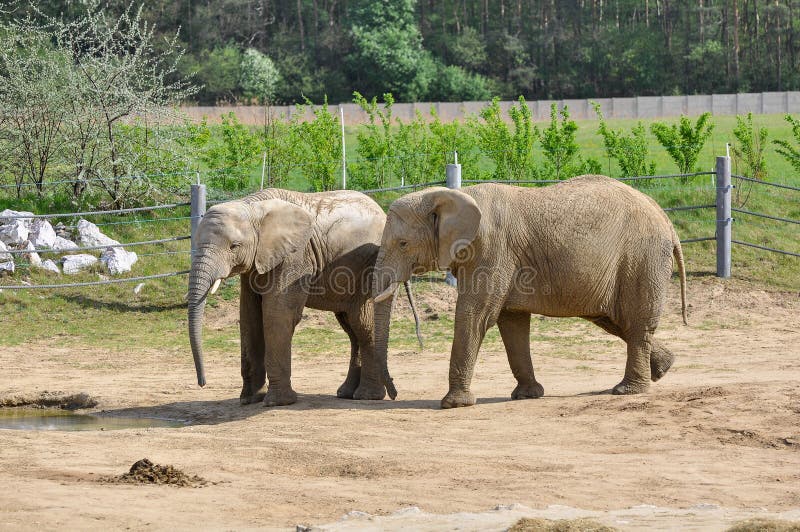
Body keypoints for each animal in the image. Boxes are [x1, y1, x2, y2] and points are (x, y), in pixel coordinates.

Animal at [188, 188, 422, 408]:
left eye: (234, 246)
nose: (202, 383)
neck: (253, 206)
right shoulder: (257, 263)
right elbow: (249, 318)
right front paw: (249, 399)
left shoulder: (295, 257)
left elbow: (278, 316)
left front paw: (277, 403)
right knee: (351, 328)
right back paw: (346, 393)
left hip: (374, 267)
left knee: (364, 325)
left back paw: (367, 396)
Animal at [372, 177, 692, 410]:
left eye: (402, 243)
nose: (393, 393)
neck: (453, 195)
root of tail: (666, 219)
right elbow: (511, 322)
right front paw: (528, 395)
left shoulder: (493, 251)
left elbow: (476, 315)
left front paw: (454, 405)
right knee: (614, 320)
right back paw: (662, 369)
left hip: (642, 258)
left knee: (634, 322)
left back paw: (627, 390)